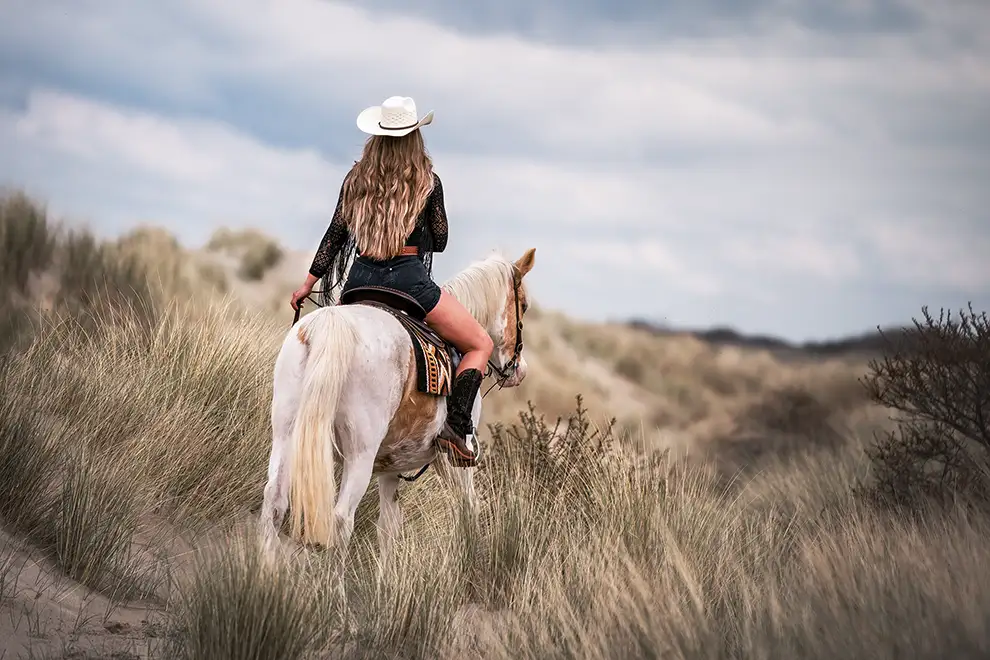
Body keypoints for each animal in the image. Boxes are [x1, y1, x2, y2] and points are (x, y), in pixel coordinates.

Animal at [258, 248, 535, 606]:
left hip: (286, 435)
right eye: (524, 305)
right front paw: (470, 572)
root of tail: (329, 325)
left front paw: (384, 585)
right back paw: (335, 598)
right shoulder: (454, 463)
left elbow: (388, 527)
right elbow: (469, 512)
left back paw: (264, 580)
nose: (519, 370)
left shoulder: (390, 467)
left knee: (275, 501)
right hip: (359, 455)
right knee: (340, 519)